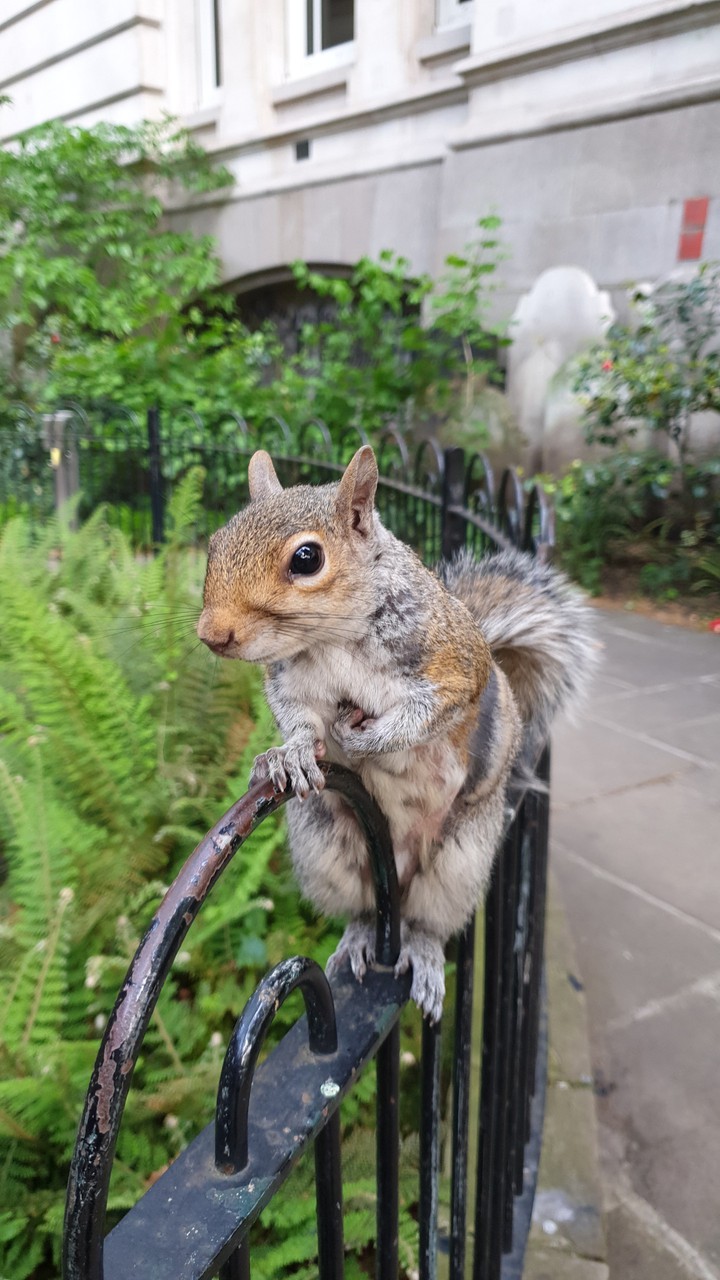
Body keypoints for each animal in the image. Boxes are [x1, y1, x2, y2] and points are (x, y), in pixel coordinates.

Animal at [197, 446, 597, 1022]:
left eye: (306, 559)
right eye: (216, 542)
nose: (211, 634)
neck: (331, 641)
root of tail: (401, 873)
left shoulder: (456, 669)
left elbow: (426, 715)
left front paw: (367, 742)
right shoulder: (290, 683)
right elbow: (297, 719)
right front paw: (289, 753)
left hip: (458, 862)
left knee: (426, 923)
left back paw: (425, 954)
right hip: (327, 849)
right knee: (366, 910)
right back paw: (360, 936)